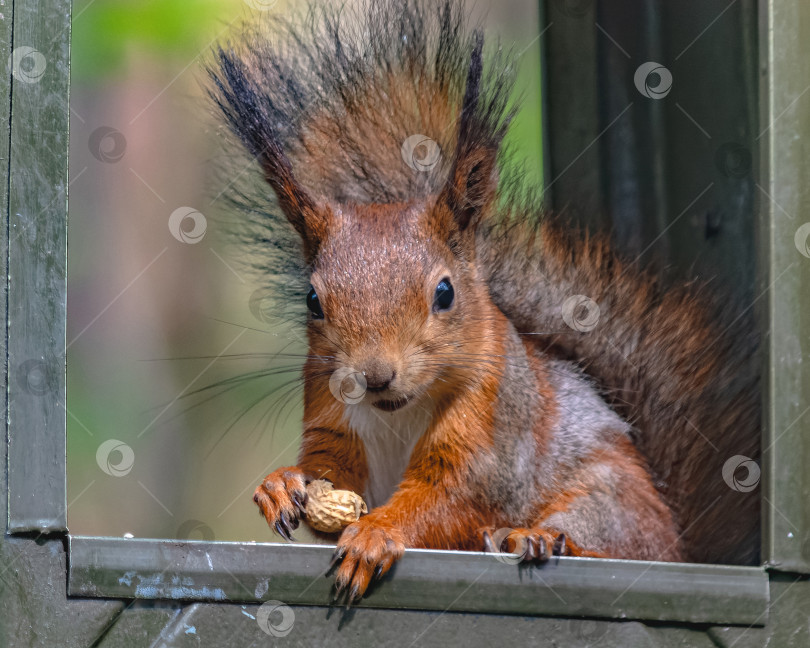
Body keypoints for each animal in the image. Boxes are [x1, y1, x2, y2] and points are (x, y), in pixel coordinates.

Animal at [207, 0, 756, 604]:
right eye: (312, 300)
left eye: (445, 293)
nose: (374, 377)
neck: (398, 413)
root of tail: (677, 541)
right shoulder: (331, 413)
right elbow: (332, 478)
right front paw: (282, 484)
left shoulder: (491, 430)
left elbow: (451, 499)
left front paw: (375, 534)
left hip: (609, 502)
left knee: (614, 543)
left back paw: (539, 539)